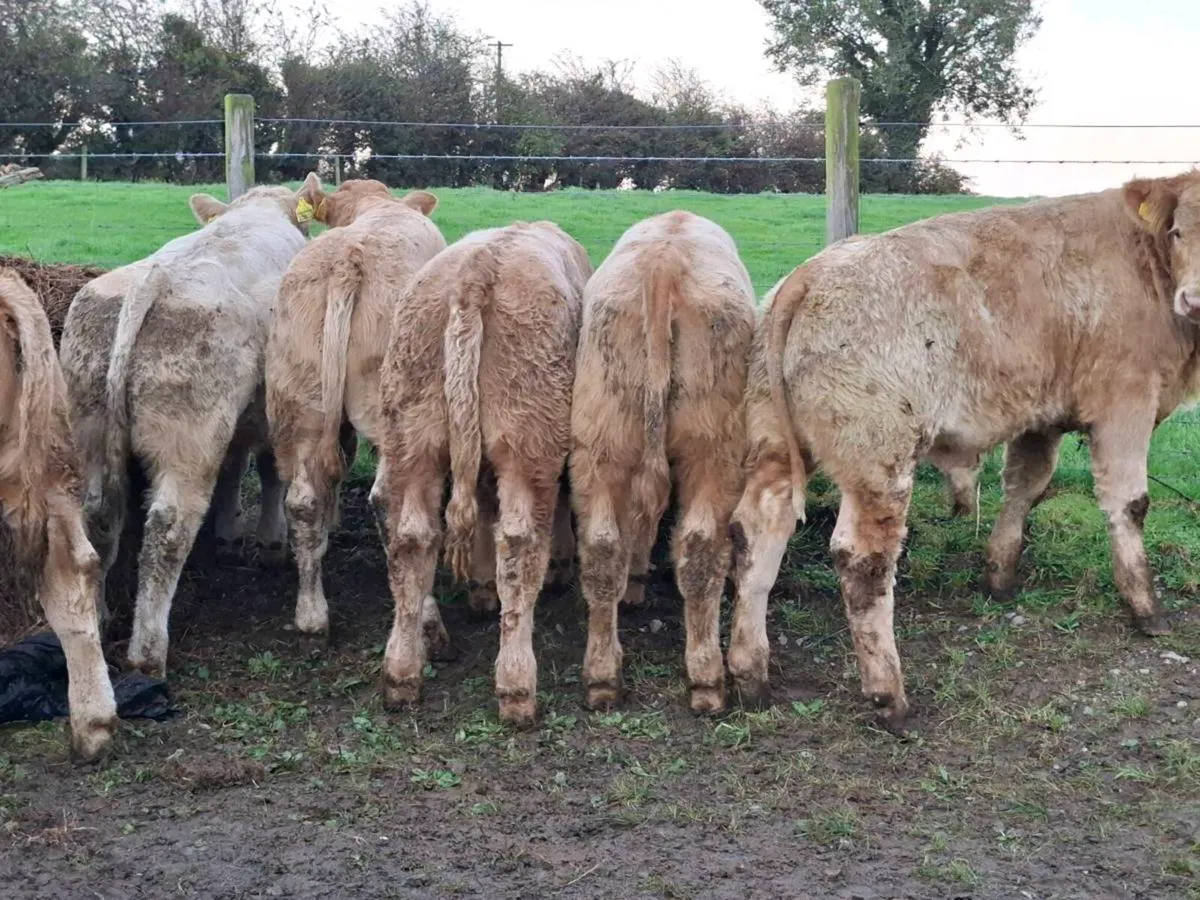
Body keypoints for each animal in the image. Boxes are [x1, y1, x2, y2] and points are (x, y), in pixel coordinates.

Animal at [59, 182, 314, 678]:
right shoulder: (271, 404)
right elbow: (269, 468)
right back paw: (147, 652)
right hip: (188, 438)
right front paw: (271, 542)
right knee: (169, 527)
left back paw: (99, 616)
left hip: (88, 424)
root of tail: (151, 280)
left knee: (95, 518)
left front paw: (230, 532)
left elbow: (235, 466)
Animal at [265, 177, 446, 637]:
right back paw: (427, 615)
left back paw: (312, 614)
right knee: (393, 503)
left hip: (299, 403)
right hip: (397, 416)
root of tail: (349, 258)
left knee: (301, 501)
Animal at [375, 221, 591, 726]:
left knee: (411, 542)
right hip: (529, 439)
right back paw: (516, 685)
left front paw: (479, 586)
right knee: (519, 544)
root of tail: (476, 272)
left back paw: (401, 674)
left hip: (412, 434)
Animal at [569, 211, 755, 714]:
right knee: (699, 548)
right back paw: (706, 678)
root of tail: (663, 263)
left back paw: (602, 677)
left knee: (601, 549)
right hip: (715, 450)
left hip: (601, 442)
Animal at [727, 170, 1200, 733]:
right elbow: (1128, 505)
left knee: (759, 530)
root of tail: (813, 273)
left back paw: (749, 673)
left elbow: (1026, 487)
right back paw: (890, 696)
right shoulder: (1125, 404)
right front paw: (1145, 608)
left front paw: (1000, 575)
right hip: (879, 464)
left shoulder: (1040, 416)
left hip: (775, 445)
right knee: (864, 559)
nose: (1196, 300)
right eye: (1177, 231)